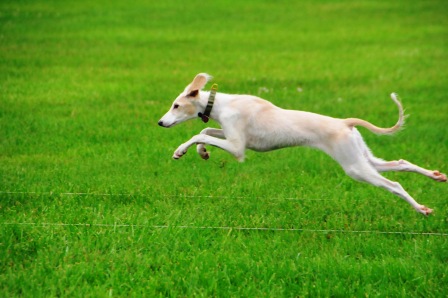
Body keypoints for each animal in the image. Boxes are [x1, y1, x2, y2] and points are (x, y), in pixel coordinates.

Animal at [159, 73, 446, 215]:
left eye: (176, 105)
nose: (160, 123)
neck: (221, 103)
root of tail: (344, 122)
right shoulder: (231, 136)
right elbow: (206, 129)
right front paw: (202, 152)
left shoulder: (238, 147)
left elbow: (201, 134)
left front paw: (181, 150)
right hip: (363, 157)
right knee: (401, 163)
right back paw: (436, 176)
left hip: (354, 166)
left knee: (394, 185)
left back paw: (422, 209)